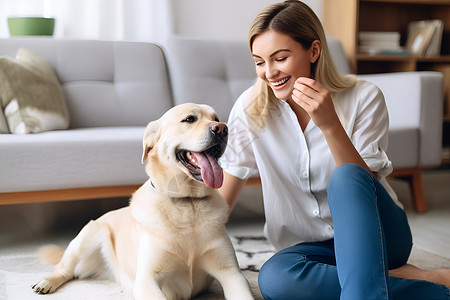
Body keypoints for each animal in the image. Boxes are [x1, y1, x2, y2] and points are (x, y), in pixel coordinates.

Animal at [31, 103, 255, 300]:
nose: (222, 128)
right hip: (91, 233)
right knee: (65, 270)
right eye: (190, 119)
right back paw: (46, 282)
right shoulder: (147, 279)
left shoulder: (231, 272)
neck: (187, 202)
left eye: (216, 118)